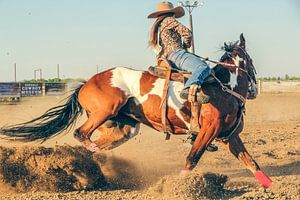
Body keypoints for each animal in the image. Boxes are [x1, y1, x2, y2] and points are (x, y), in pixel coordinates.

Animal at [0, 33, 272, 188]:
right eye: (251, 61)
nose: (253, 90)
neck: (223, 87)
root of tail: (86, 84)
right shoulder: (208, 131)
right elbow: (192, 158)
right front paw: (180, 185)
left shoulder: (229, 136)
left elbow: (251, 162)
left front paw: (271, 185)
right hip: (106, 109)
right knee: (81, 134)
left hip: (123, 129)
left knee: (94, 142)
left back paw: (92, 167)